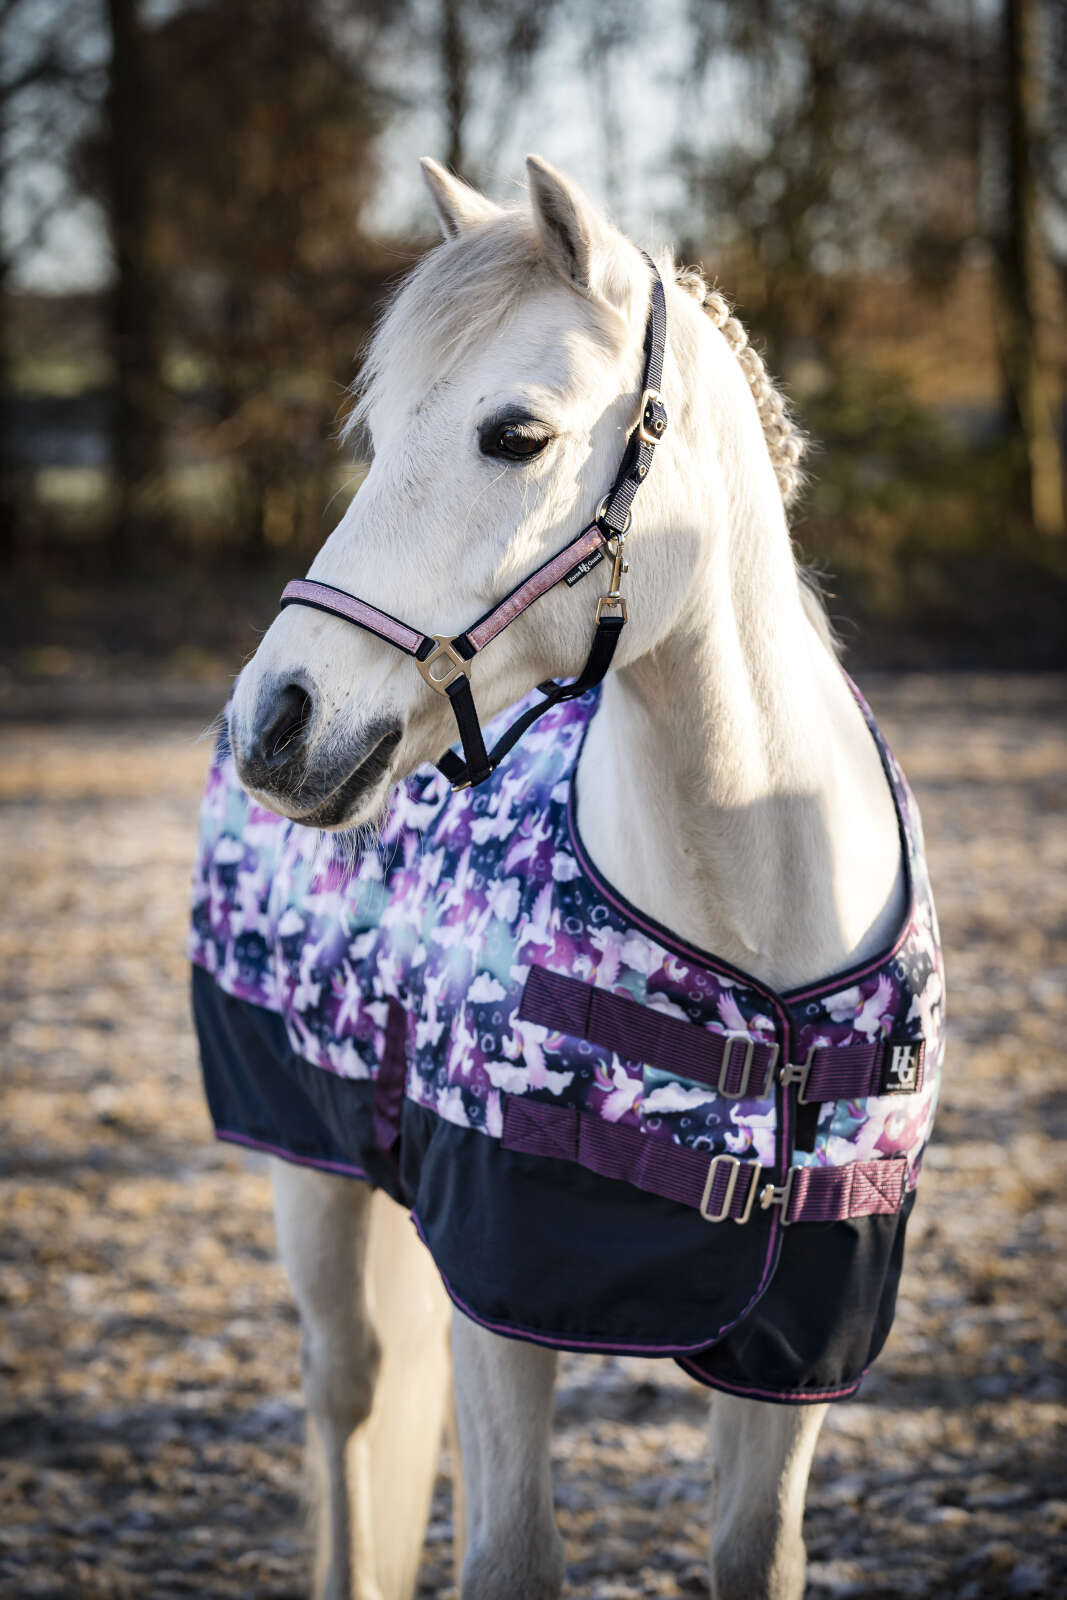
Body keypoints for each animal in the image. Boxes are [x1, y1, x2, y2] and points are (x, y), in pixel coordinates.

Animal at [191, 155, 943, 1600]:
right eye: (379, 429)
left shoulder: (798, 1349)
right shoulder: (502, 1295)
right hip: (307, 1164)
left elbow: (755, 1552)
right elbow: (508, 1556)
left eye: (514, 436)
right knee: (345, 1398)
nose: (277, 719)